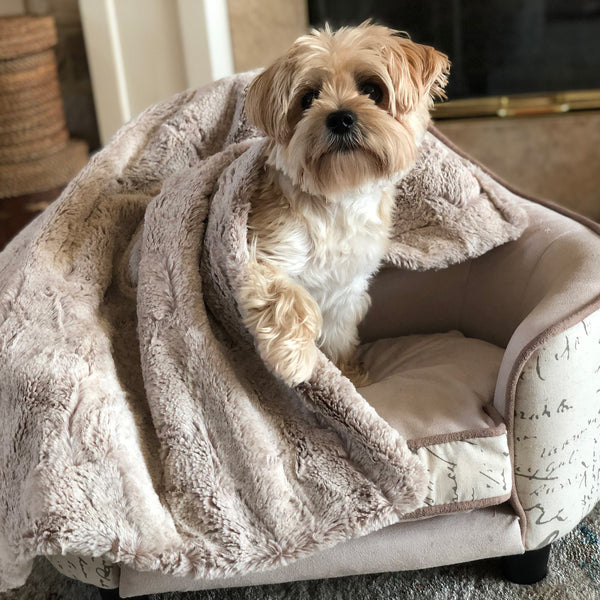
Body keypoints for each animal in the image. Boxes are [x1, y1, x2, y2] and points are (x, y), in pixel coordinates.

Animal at [237, 22, 448, 384]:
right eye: (308, 98)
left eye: (372, 90)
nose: (340, 118)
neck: (338, 201)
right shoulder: (263, 253)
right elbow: (288, 296)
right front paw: (295, 360)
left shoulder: (346, 283)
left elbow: (338, 332)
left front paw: (345, 374)